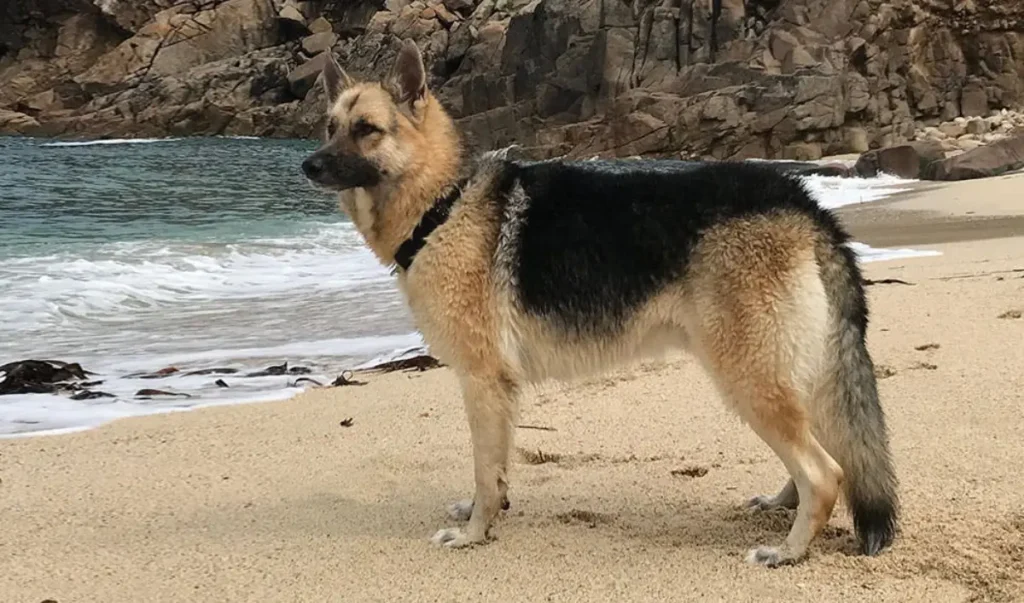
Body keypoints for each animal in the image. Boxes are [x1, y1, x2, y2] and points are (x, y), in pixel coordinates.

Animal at [299, 39, 901, 565]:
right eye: (329, 127)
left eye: (367, 130)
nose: (308, 166)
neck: (443, 203)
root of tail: (805, 204)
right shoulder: (497, 394)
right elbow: (496, 469)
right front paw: (483, 515)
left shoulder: (482, 383)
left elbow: (484, 470)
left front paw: (475, 534)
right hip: (784, 374)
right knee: (821, 455)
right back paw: (782, 506)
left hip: (749, 378)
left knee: (825, 472)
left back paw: (790, 551)